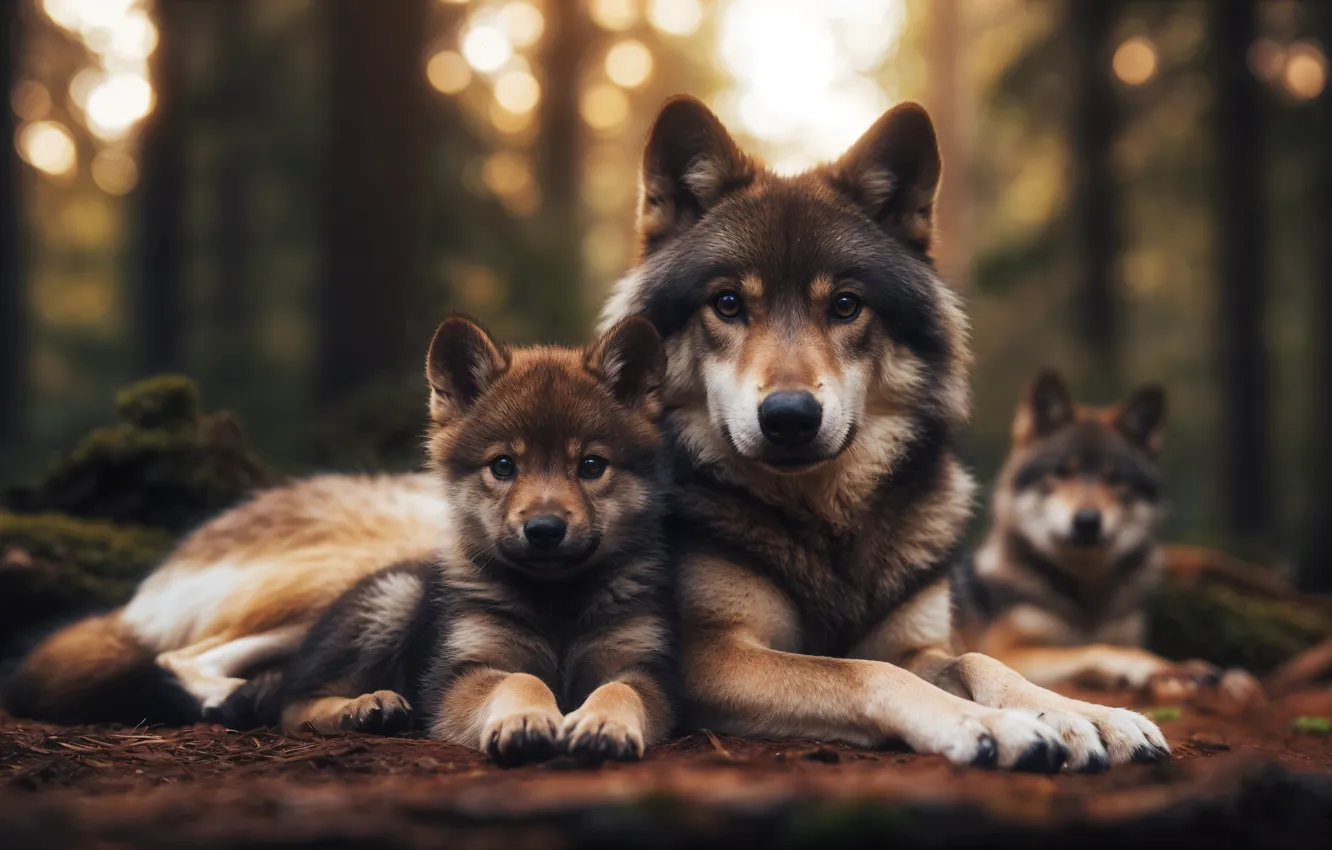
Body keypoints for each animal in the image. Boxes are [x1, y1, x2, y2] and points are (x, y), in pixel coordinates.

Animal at [273, 317, 675, 765]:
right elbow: (520, 680)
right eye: (502, 466)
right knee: (293, 704)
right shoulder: (465, 671)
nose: (544, 529)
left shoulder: (639, 668)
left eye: (591, 465)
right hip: (393, 599)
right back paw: (368, 705)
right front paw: (525, 718)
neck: (556, 605)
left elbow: (620, 690)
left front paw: (603, 722)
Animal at [598, 96, 1169, 772]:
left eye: (846, 305)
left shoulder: (919, 642)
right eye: (729, 303)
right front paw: (992, 727)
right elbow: (863, 671)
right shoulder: (709, 655)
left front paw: (1088, 716)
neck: (826, 525)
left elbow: (984, 659)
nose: (789, 416)